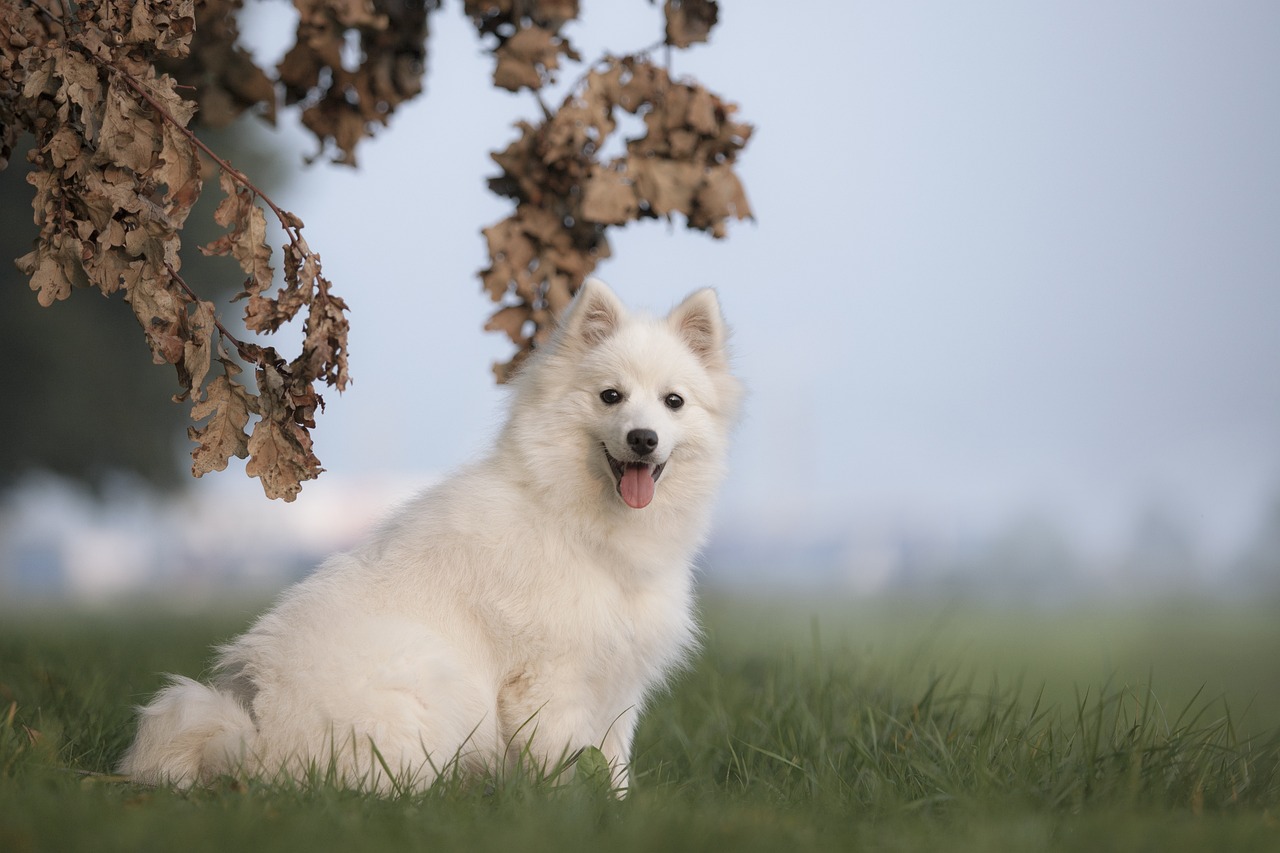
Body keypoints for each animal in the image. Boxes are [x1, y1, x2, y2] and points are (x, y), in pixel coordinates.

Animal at [122, 280, 742, 788]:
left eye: (673, 402)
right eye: (611, 396)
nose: (643, 439)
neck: (576, 520)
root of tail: (258, 735)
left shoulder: (617, 687)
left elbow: (612, 768)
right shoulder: (550, 679)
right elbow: (562, 764)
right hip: (439, 682)